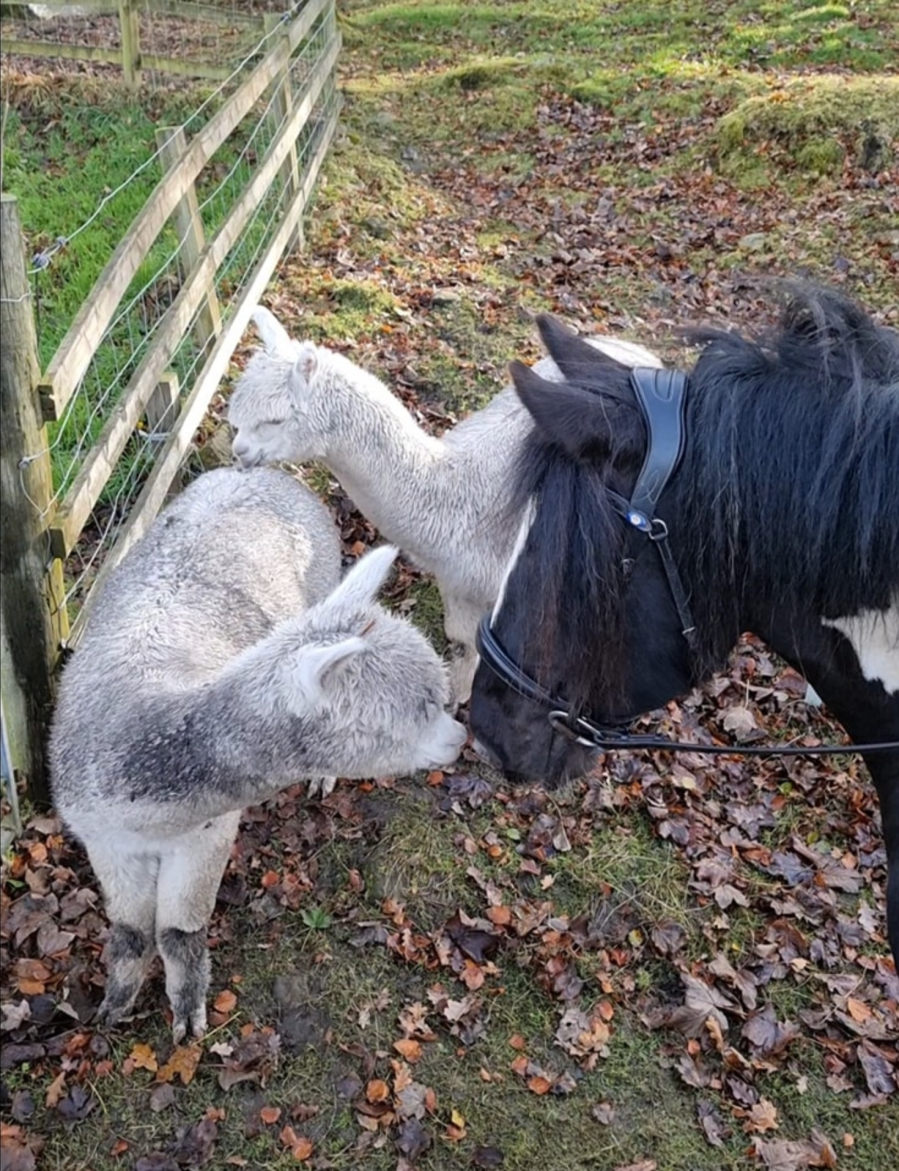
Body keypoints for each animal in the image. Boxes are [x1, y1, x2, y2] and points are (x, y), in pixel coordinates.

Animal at [49, 466, 466, 1041]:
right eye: (420, 708)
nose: (461, 737)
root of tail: (267, 472)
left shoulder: (204, 835)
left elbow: (178, 930)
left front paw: (188, 1014)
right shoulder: (104, 839)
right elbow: (132, 929)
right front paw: (117, 1003)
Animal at [228, 308, 662, 705]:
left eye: (275, 419)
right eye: (238, 414)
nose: (238, 451)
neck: (454, 489)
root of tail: (638, 351)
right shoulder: (458, 582)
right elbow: (462, 639)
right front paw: (457, 691)